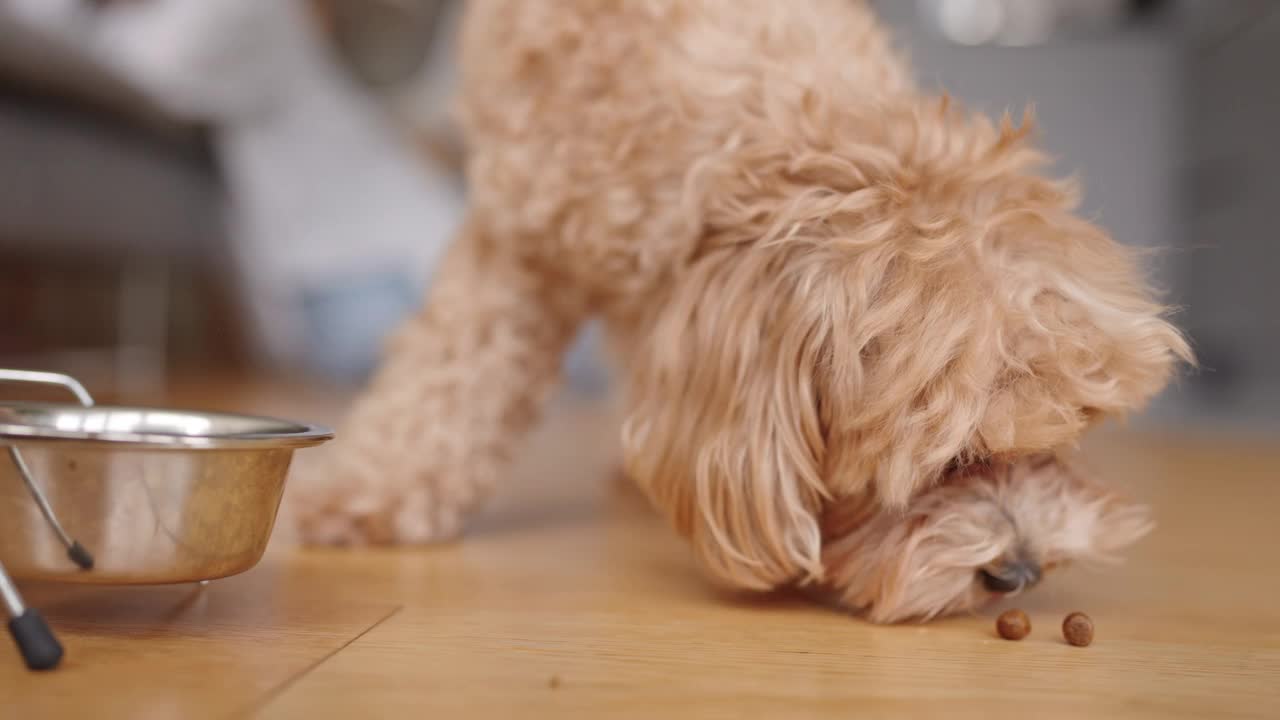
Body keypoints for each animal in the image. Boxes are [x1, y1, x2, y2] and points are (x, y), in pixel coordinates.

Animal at [299, 0, 1187, 620]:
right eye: (952, 459)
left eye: (1063, 440)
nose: (1022, 570)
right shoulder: (517, 240)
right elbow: (451, 382)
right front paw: (368, 495)